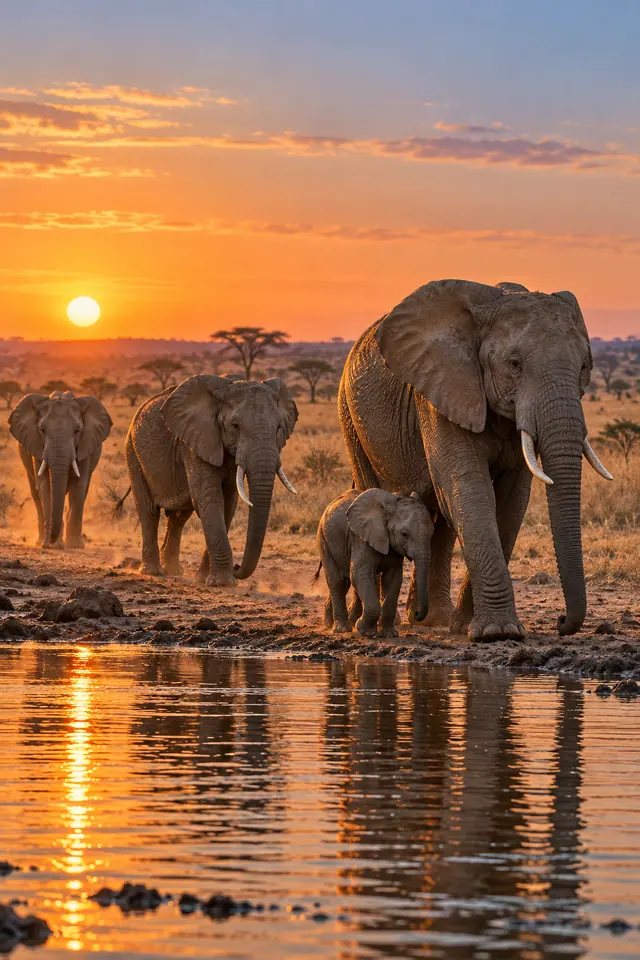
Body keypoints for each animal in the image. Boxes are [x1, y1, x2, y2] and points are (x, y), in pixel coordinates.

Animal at [9, 390, 112, 548]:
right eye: (42, 429)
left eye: (77, 430)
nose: (50, 542)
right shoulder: (37, 445)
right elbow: (45, 486)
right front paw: (51, 545)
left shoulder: (85, 445)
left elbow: (78, 487)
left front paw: (74, 546)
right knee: (35, 492)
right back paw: (40, 541)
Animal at [124, 374, 298, 584]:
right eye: (235, 426)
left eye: (279, 427)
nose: (237, 567)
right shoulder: (195, 443)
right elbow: (210, 500)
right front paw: (222, 583)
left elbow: (228, 504)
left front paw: (204, 578)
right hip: (132, 452)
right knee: (149, 511)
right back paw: (152, 571)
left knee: (179, 517)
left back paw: (173, 570)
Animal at [316, 488, 433, 638]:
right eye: (404, 534)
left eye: (432, 533)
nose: (417, 614)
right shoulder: (360, 538)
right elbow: (360, 574)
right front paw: (364, 630)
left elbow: (393, 579)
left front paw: (389, 634)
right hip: (323, 539)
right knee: (337, 581)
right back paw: (341, 629)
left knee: (348, 582)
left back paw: (330, 623)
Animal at [338, 279, 613, 641]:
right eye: (515, 364)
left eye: (584, 367)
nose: (561, 622)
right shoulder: (442, 392)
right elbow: (467, 488)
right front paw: (497, 633)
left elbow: (511, 501)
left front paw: (474, 627)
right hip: (351, 419)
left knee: (439, 518)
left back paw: (433, 620)